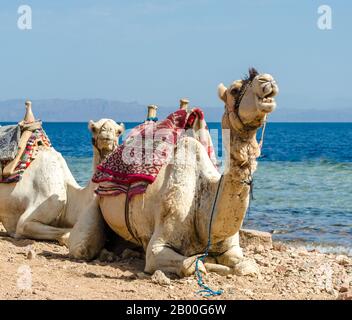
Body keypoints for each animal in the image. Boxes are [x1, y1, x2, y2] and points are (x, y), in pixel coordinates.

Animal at [70, 67, 280, 276]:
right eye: (234, 90)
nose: (267, 80)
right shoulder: (157, 247)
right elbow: (193, 265)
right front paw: (207, 262)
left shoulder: (232, 247)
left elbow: (247, 266)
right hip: (95, 203)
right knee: (80, 246)